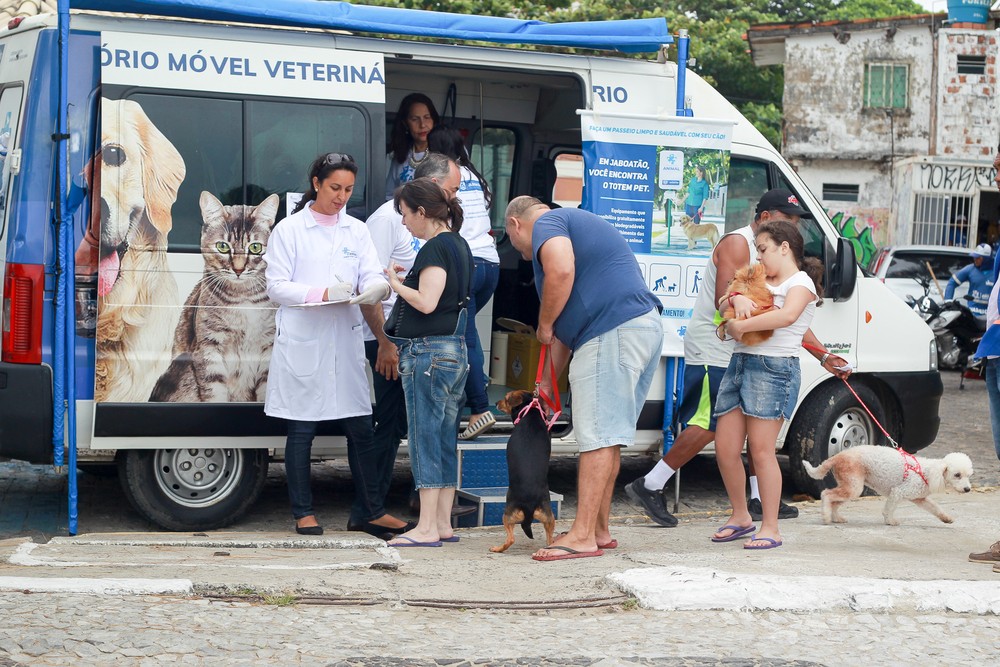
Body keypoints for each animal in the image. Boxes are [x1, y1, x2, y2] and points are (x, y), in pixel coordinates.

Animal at [490, 388, 560, 556]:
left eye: (506, 398)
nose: (496, 403)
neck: (530, 412)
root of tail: (529, 504)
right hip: (549, 516)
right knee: (549, 540)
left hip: (507, 515)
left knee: (510, 539)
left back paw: (497, 549)